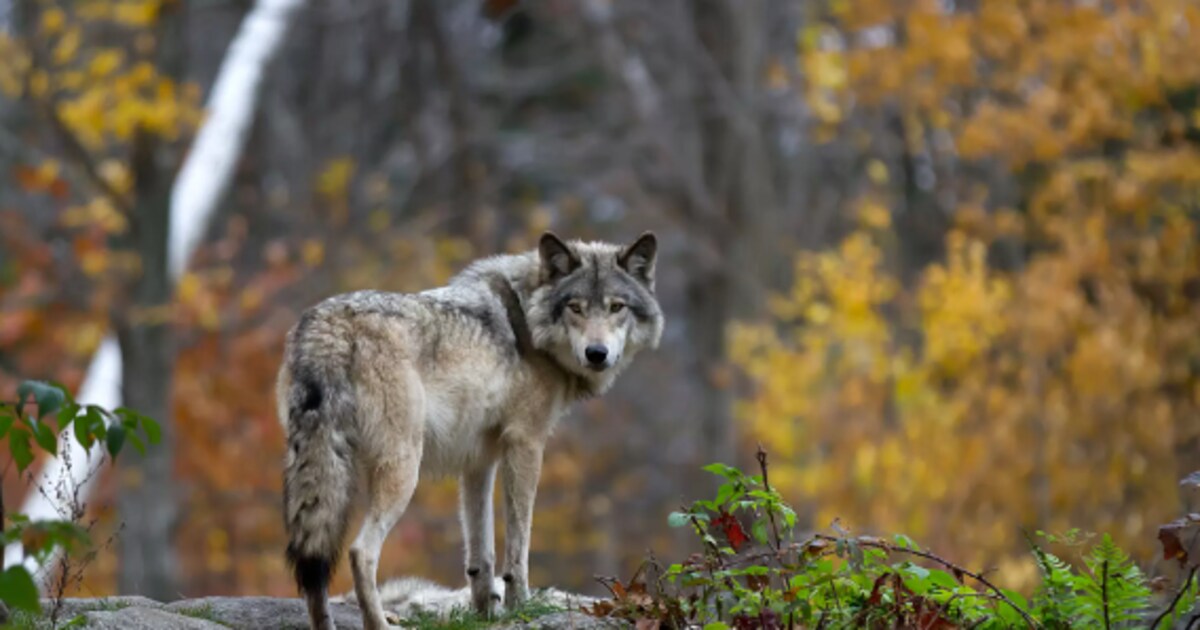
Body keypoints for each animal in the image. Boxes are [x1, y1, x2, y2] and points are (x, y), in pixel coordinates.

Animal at [278, 232, 663, 630]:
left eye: (617, 307)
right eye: (575, 307)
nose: (596, 353)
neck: (527, 322)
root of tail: (328, 325)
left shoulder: (478, 461)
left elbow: (482, 554)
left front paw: (485, 614)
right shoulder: (526, 444)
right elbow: (518, 546)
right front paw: (520, 606)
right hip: (403, 470)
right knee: (359, 551)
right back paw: (380, 623)